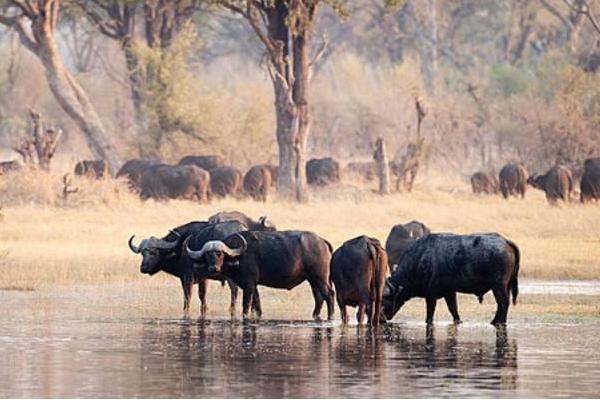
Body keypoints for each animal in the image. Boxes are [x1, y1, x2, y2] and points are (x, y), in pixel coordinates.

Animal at [185, 230, 336, 320]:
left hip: (319, 277)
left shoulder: (249, 284)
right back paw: (315, 315)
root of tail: (321, 241)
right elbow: (257, 304)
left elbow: (246, 305)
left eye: (219, 254)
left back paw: (331, 317)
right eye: (207, 255)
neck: (238, 256)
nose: (213, 268)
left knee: (329, 294)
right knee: (319, 297)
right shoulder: (254, 286)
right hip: (313, 280)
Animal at [384, 234, 520, 324]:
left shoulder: (431, 295)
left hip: (499, 286)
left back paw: (496, 321)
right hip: (506, 285)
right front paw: (458, 321)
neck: (420, 259)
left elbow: (430, 313)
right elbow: (453, 309)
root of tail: (506, 241)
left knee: (503, 302)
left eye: (386, 299)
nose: (384, 317)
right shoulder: (449, 292)